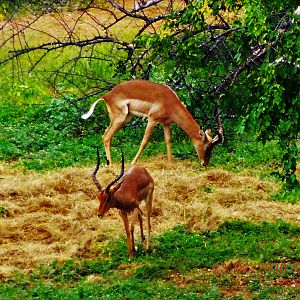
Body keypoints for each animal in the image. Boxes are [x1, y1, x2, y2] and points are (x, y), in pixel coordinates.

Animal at [83, 79, 224, 165]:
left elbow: (168, 140)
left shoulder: (165, 123)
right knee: (106, 136)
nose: (205, 163)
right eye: (207, 147)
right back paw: (111, 165)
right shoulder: (152, 120)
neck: (169, 100)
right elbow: (145, 141)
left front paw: (170, 162)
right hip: (120, 118)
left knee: (107, 136)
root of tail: (106, 96)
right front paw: (133, 163)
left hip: (124, 118)